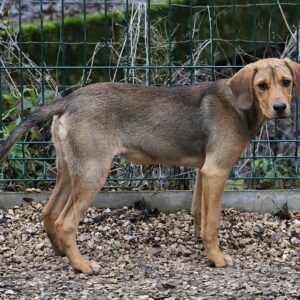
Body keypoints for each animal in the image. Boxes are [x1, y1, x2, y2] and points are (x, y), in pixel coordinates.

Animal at [0, 57, 298, 274]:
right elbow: (213, 219)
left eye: (286, 82)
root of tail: (68, 100)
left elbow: (199, 213)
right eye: (261, 85)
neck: (237, 104)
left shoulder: (203, 170)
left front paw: (203, 245)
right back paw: (81, 265)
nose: (280, 108)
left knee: (49, 212)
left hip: (70, 170)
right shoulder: (217, 170)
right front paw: (217, 258)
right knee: (65, 222)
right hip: (93, 173)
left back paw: (62, 251)